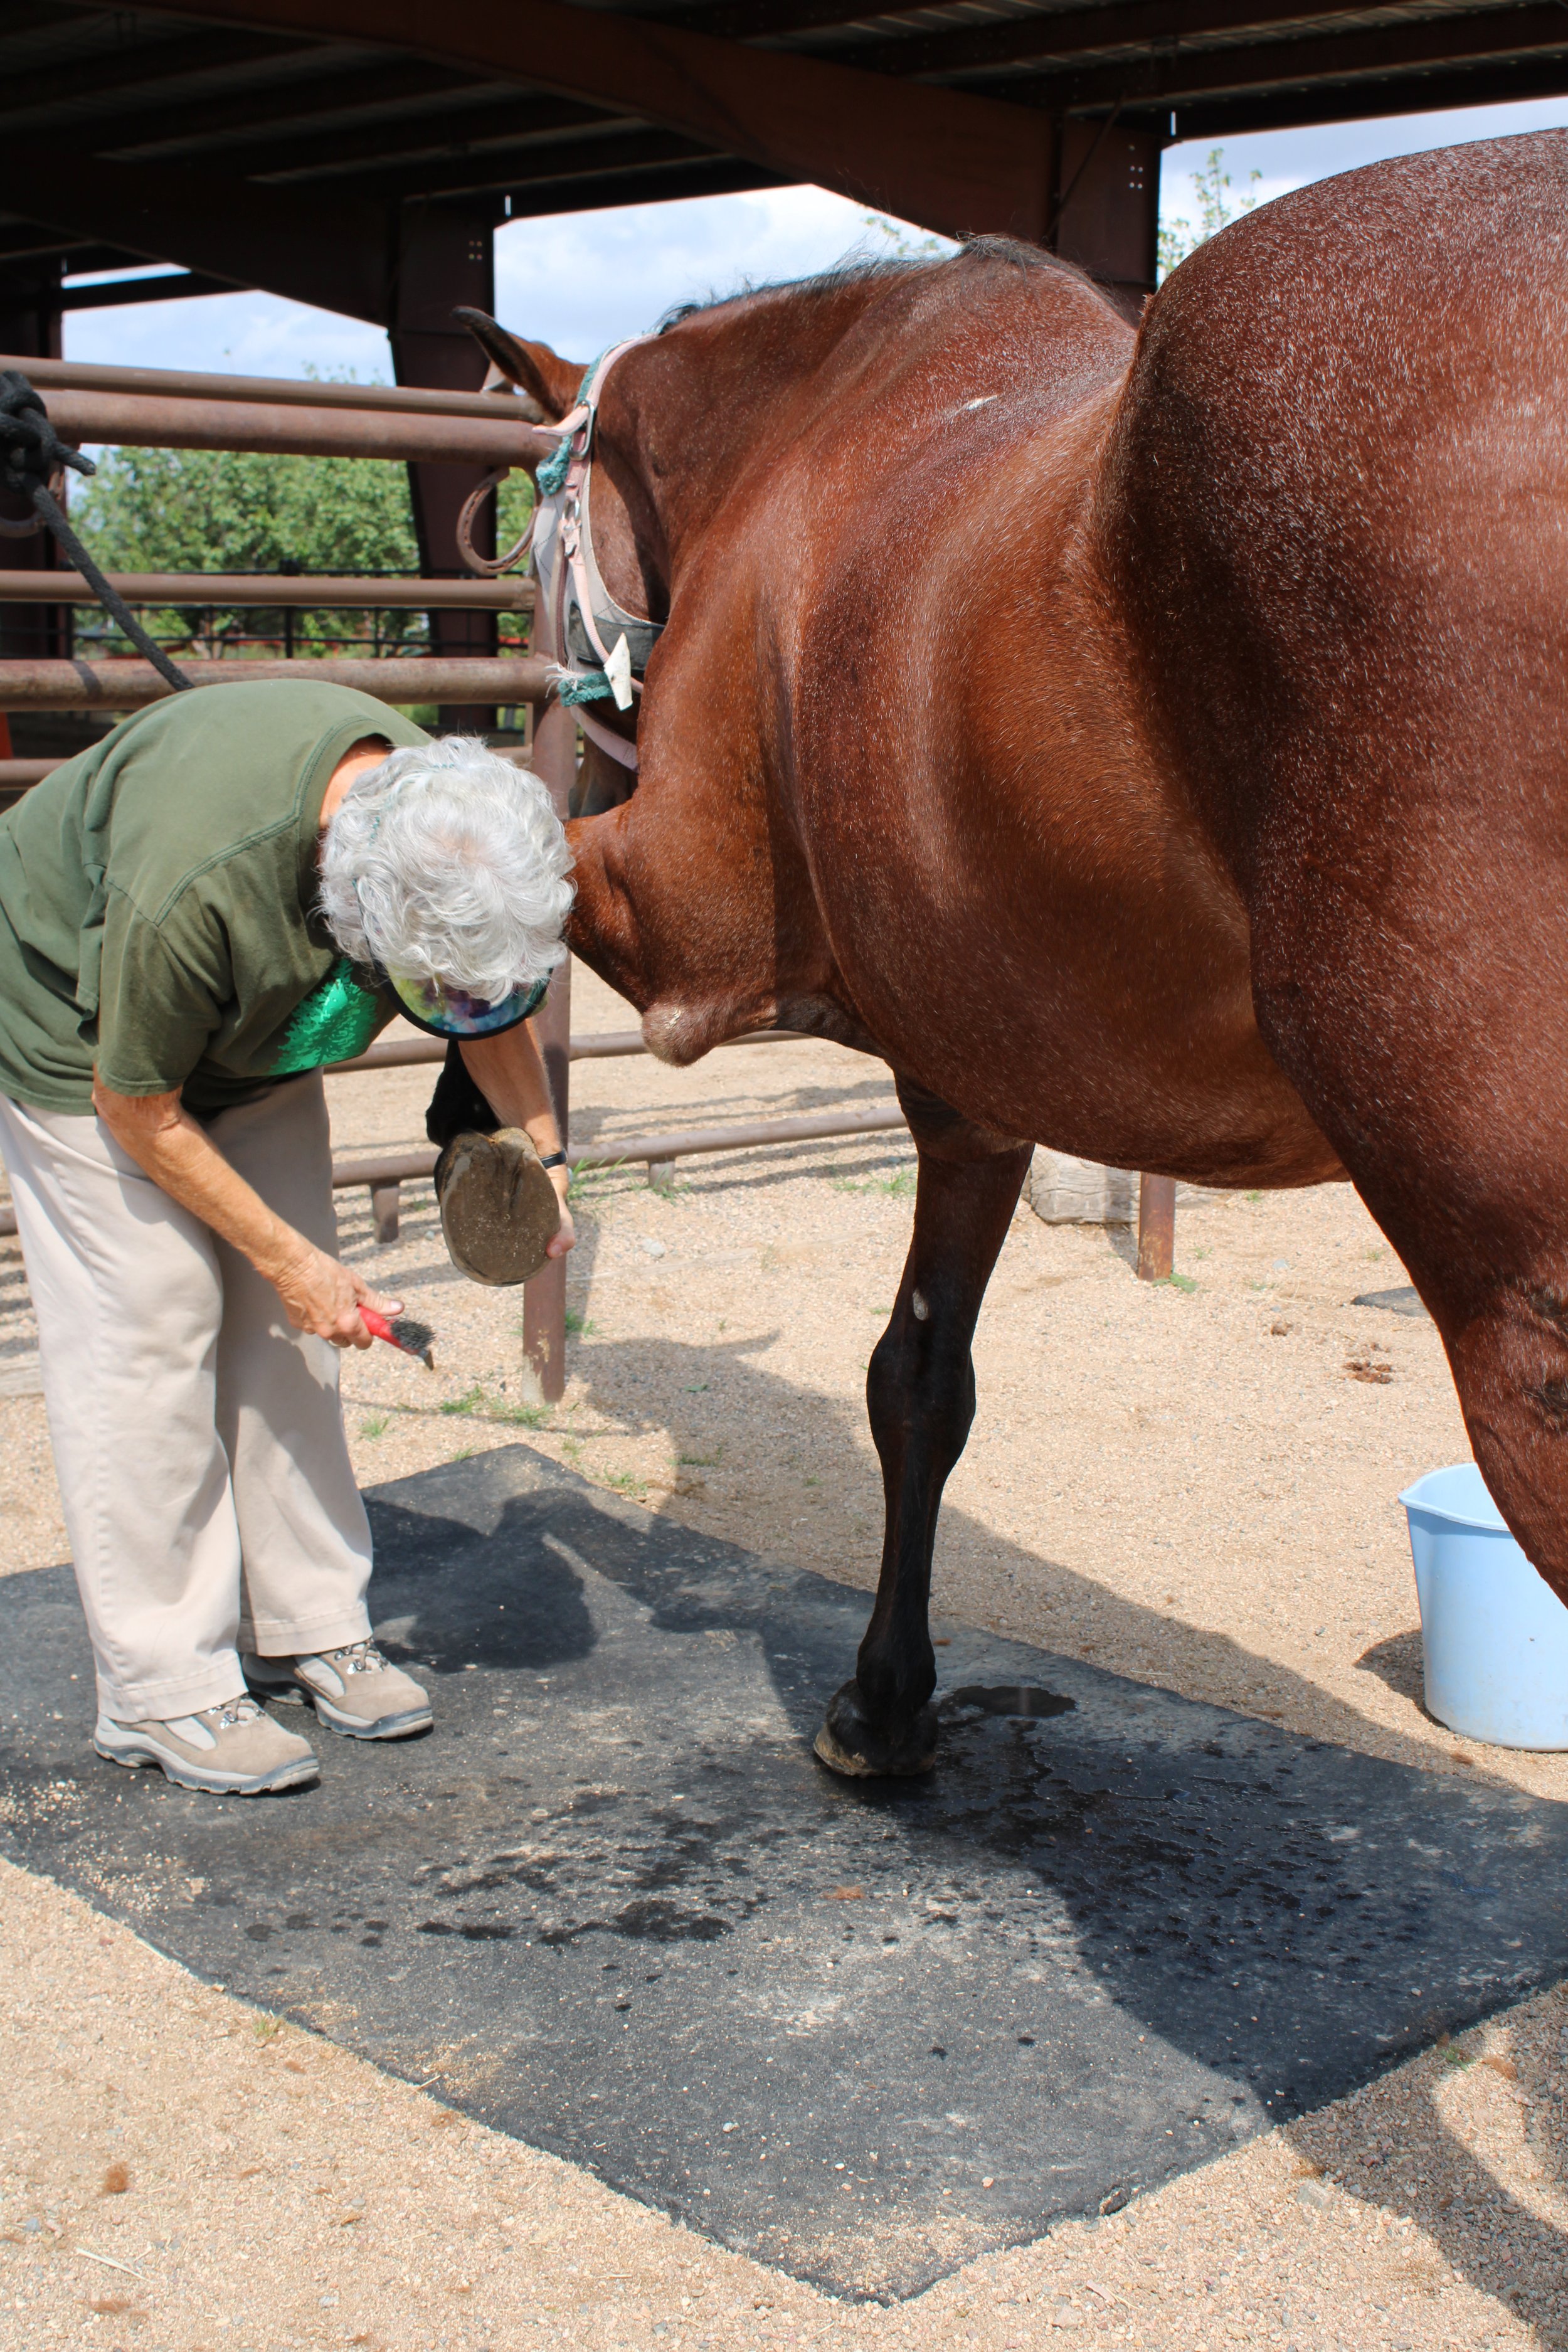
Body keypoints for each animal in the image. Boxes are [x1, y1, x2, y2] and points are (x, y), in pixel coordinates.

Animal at [439, 129, 1568, 1769]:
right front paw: (886, 1697)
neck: (812, 427)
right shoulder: (973, 1086)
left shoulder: (676, 926)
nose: (568, 749)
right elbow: (919, 1383)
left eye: (530, 540)